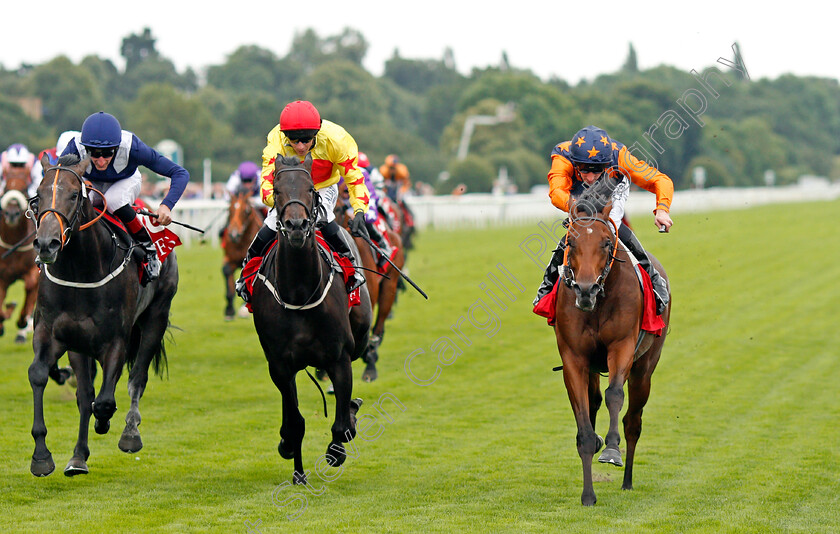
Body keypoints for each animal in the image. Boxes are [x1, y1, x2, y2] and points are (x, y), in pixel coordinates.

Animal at [29, 154, 179, 478]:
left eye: (74, 195)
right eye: (38, 196)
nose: (46, 244)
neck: (80, 271)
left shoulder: (115, 342)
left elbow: (107, 400)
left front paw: (107, 423)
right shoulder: (55, 334)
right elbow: (43, 376)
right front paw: (42, 456)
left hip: (156, 317)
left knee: (137, 377)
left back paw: (130, 433)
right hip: (79, 345)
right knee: (86, 395)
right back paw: (78, 457)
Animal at [220, 188, 262, 320]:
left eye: (247, 211)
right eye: (229, 209)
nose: (234, 234)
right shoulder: (229, 258)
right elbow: (226, 270)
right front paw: (229, 310)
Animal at [248, 154, 370, 486]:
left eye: (310, 188)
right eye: (276, 190)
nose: (296, 226)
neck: (299, 292)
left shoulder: (339, 357)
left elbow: (341, 424)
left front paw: (337, 448)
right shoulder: (280, 364)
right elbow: (295, 422)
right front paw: (298, 470)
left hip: (361, 333)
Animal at [556, 192, 672, 506]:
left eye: (607, 243)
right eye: (571, 243)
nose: (585, 290)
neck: (597, 305)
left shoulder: (621, 348)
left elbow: (615, 396)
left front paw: (610, 449)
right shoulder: (574, 358)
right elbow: (584, 423)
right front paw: (588, 495)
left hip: (644, 368)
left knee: (633, 421)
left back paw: (628, 480)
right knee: (594, 399)